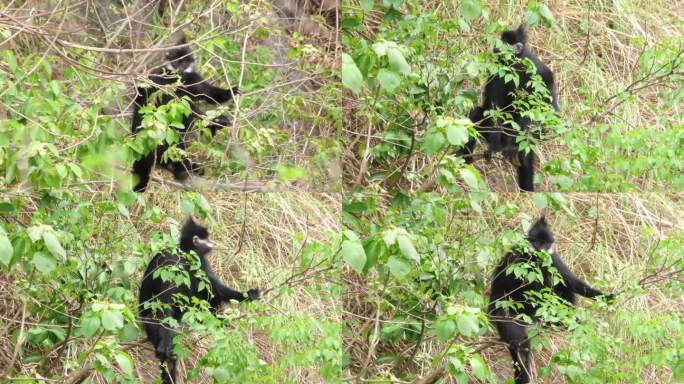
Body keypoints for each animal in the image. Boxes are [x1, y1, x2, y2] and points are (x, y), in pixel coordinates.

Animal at [132, 36, 240, 191]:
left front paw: (228, 93)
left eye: (185, 61)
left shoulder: (191, 77)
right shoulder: (164, 77)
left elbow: (206, 92)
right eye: (178, 61)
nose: (181, 68)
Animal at [139, 219, 260, 384]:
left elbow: (215, 289)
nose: (212, 243)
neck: (185, 255)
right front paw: (164, 346)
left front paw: (247, 295)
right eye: (207, 238)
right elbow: (164, 303)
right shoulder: (172, 262)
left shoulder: (201, 262)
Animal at [460, 24, 560, 192]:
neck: (514, 64)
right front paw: (493, 145)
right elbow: (493, 104)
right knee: (475, 114)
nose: (496, 46)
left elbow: (547, 97)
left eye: (505, 42)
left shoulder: (533, 65)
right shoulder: (497, 69)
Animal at [486, 216, 608, 384]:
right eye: (537, 242)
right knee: (519, 344)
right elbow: (509, 279)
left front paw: (605, 297)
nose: (541, 250)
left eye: (546, 243)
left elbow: (570, 281)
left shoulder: (553, 258)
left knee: (560, 285)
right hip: (504, 310)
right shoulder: (517, 253)